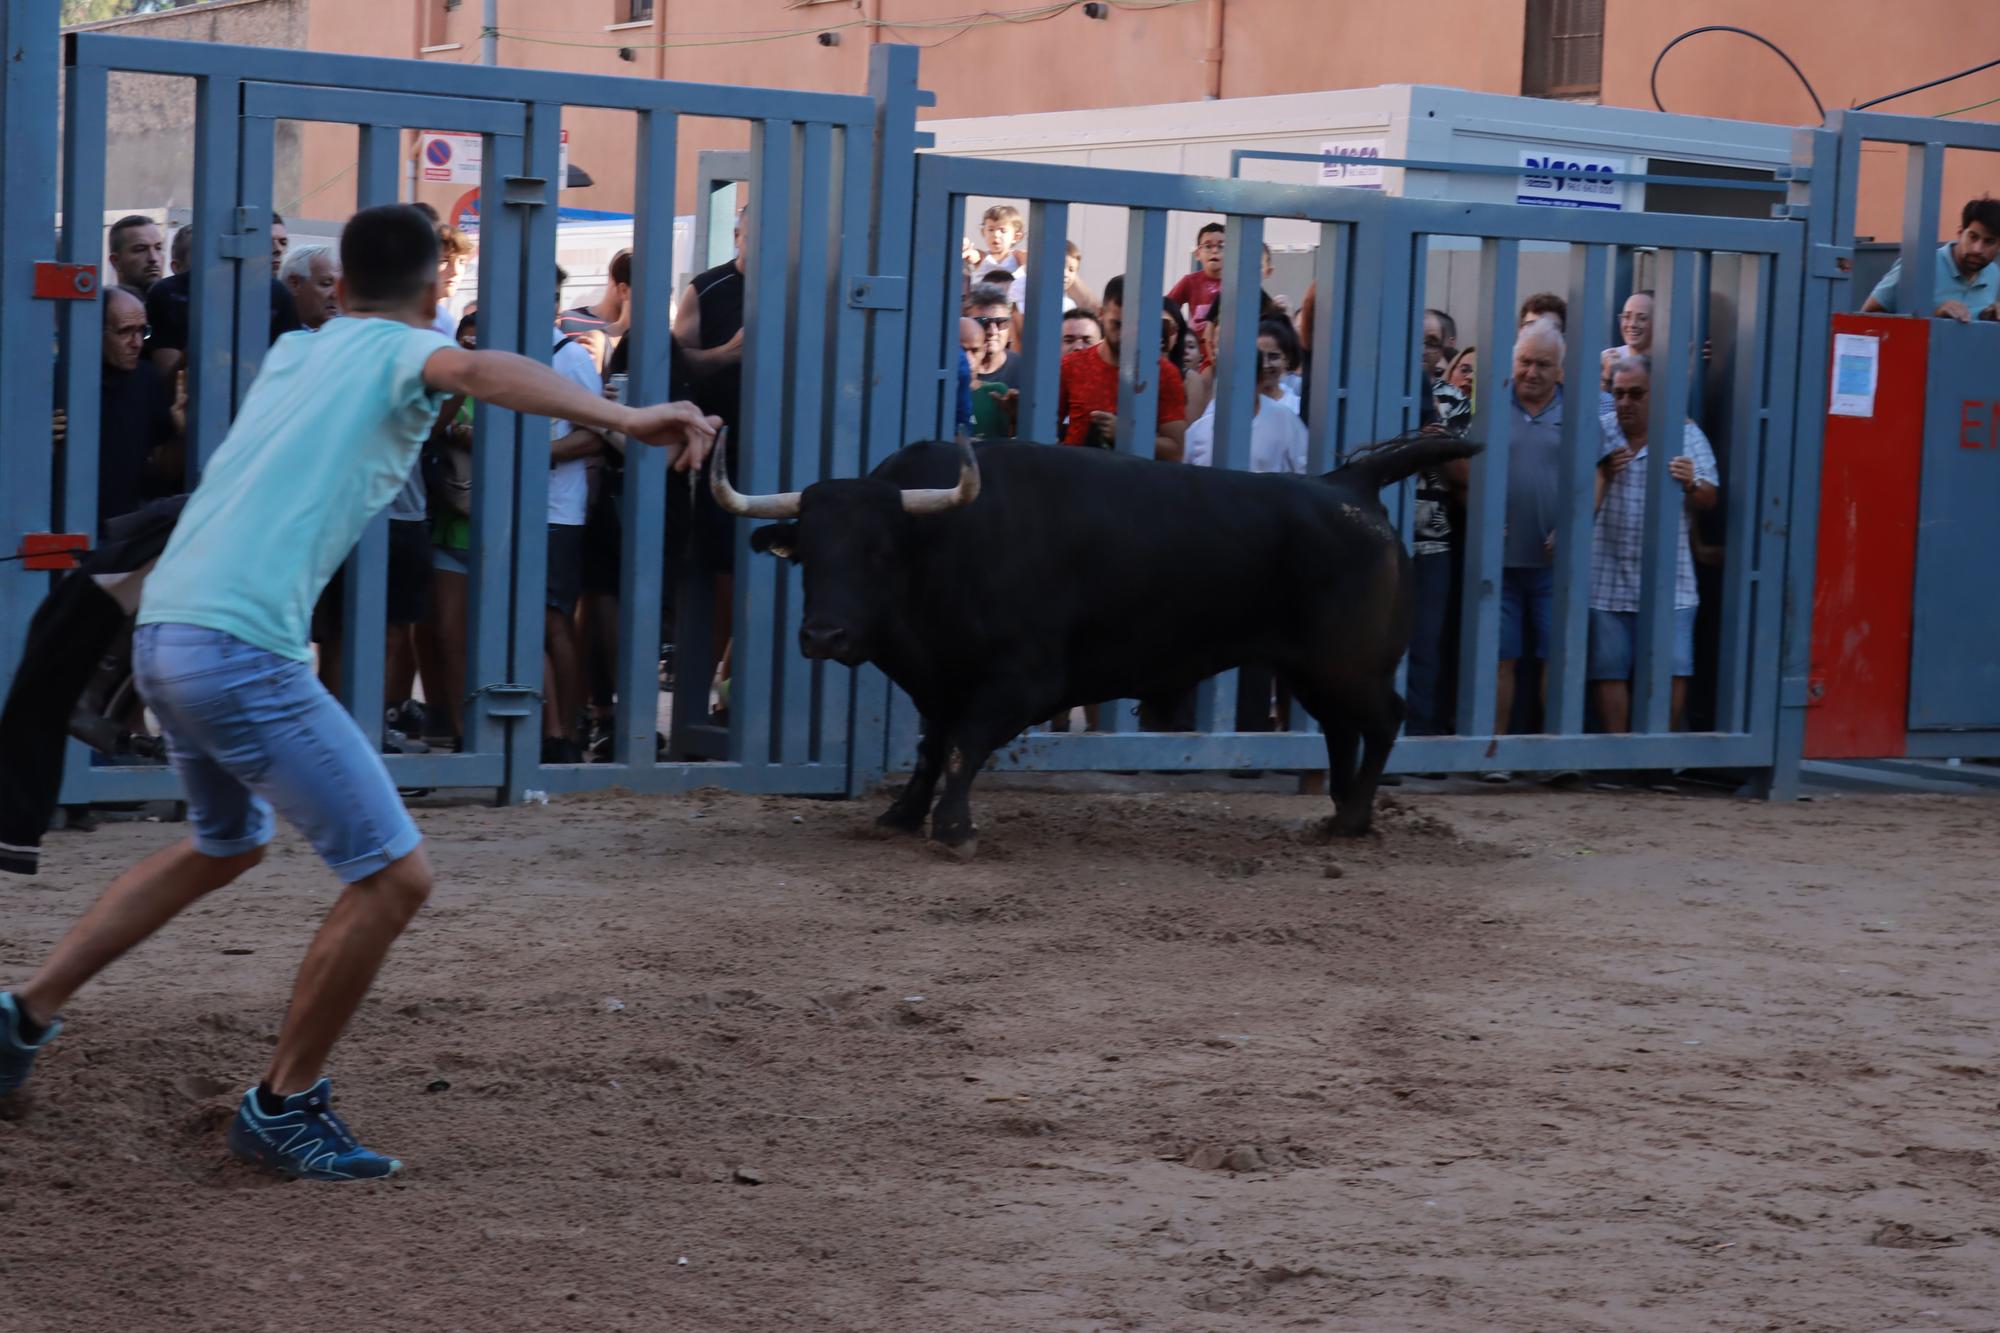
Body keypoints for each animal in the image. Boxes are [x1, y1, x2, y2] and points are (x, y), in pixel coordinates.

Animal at [720, 436, 1488, 852]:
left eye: (879, 552)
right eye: (807, 555)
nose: (824, 634)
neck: (947, 543)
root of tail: (1347, 485)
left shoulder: (1023, 682)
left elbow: (965, 744)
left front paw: (955, 826)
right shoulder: (939, 680)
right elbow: (933, 746)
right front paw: (902, 816)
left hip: (1350, 666)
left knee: (1381, 723)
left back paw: (1354, 817)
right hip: (1311, 670)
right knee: (1341, 730)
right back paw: (1338, 816)